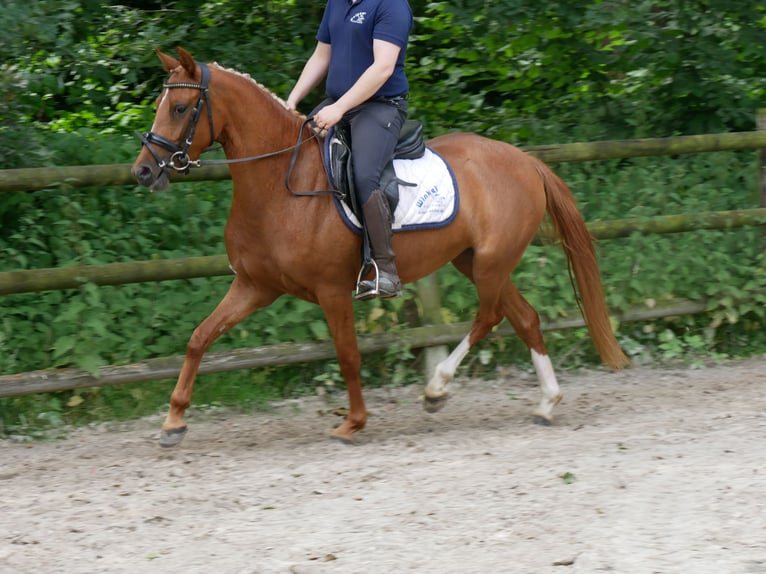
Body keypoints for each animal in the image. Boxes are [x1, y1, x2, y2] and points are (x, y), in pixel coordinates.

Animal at [130, 47, 632, 448]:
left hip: (491, 263)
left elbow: (349, 356)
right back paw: (546, 403)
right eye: (159, 105)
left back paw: (437, 389)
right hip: (474, 261)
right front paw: (173, 421)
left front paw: (353, 424)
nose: (143, 172)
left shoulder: (332, 291)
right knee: (524, 316)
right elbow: (199, 338)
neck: (278, 185)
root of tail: (527, 161)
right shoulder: (256, 286)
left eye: (180, 107)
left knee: (490, 316)